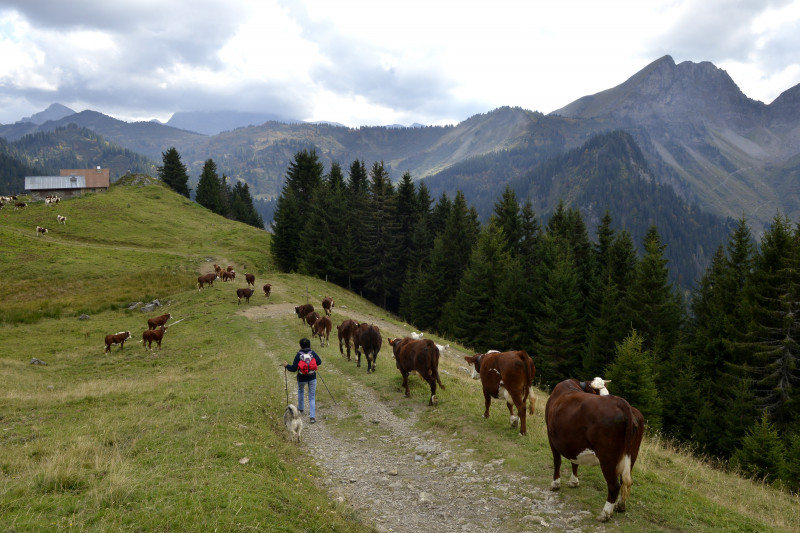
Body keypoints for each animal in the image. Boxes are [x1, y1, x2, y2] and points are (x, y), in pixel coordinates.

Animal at [544, 376, 644, 520]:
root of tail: (622, 403)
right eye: (599, 392)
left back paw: (605, 514)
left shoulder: (551, 436)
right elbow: (575, 462)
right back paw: (620, 506)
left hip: (607, 456)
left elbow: (557, 461)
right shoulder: (574, 442)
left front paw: (555, 484)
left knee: (614, 485)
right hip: (632, 454)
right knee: (625, 480)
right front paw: (574, 482)